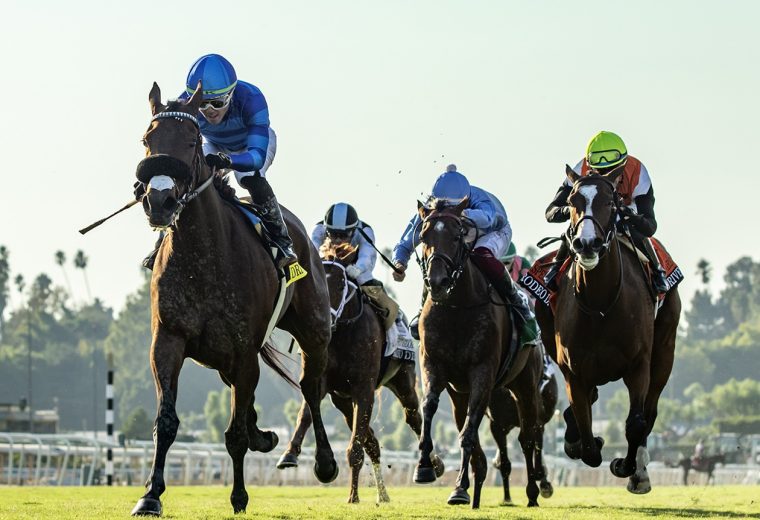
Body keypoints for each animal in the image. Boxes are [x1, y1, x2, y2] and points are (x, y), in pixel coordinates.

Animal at [130, 82, 336, 516]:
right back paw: (266, 436)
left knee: (311, 388)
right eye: (147, 140)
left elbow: (235, 433)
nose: (159, 201)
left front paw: (239, 496)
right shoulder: (168, 340)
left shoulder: (243, 350)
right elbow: (167, 421)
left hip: (313, 332)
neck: (202, 256)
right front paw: (150, 494)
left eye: (192, 140)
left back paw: (324, 462)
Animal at [276, 243, 442, 504]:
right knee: (372, 441)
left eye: (341, 285)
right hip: (342, 400)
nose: (324, 321)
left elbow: (355, 446)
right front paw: (289, 454)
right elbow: (305, 414)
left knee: (413, 418)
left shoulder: (364, 389)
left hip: (403, 381)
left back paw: (433, 465)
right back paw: (382, 494)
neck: (343, 332)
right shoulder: (326, 381)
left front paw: (353, 495)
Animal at [410, 199, 548, 508]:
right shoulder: (433, 365)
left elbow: (469, 431)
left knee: (529, 436)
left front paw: (460, 486)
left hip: (525, 384)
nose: (437, 282)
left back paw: (533, 492)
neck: (456, 308)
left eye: (456, 236)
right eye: (424, 237)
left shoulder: (482, 372)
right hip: (459, 393)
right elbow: (429, 407)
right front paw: (425, 466)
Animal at [486, 350, 560, 504]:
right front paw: (507, 498)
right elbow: (505, 463)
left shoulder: (535, 416)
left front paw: (541, 483)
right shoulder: (497, 424)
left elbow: (533, 446)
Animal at [536, 167, 684, 496]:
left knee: (650, 412)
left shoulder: (638, 365)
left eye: (609, 202)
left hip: (665, 351)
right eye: (573, 200)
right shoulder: (574, 371)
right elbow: (586, 435)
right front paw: (582, 442)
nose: (587, 244)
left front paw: (625, 466)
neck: (601, 304)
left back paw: (640, 471)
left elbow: (636, 422)